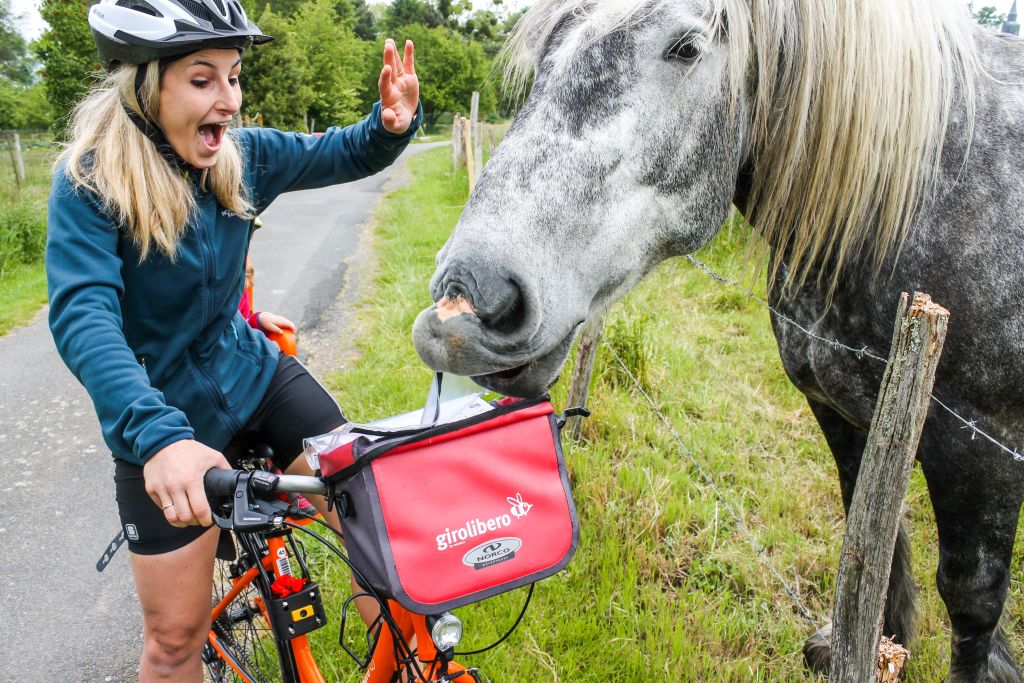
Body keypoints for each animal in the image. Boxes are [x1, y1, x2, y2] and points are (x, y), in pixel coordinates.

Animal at [411, 0, 1024, 680]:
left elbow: (971, 597)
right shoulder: (842, 412)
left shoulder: (982, 449)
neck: (909, 199)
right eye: (549, 52)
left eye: (686, 47)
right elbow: (869, 534)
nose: (466, 303)